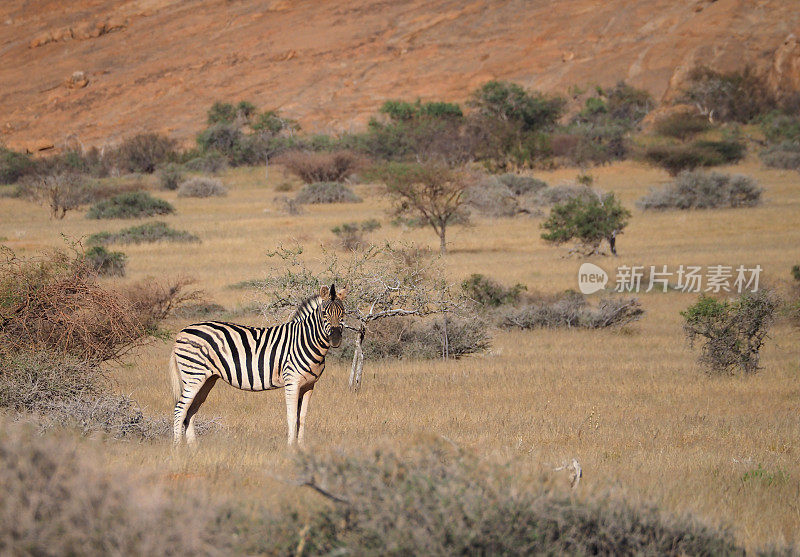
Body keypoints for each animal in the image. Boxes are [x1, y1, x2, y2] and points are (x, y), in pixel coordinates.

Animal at [167, 284, 346, 446]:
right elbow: (291, 416)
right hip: (193, 375)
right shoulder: (292, 382)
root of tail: (181, 332)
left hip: (207, 379)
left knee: (190, 410)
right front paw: (290, 447)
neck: (304, 340)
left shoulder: (309, 385)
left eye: (343, 313)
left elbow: (301, 417)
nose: (336, 339)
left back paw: (193, 448)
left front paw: (301, 446)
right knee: (180, 409)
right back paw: (178, 448)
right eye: (324, 313)